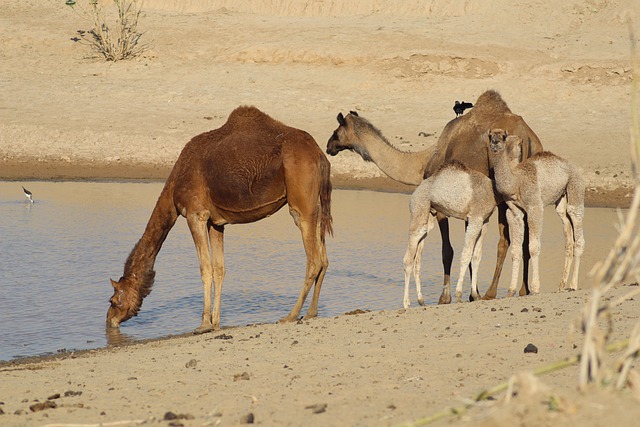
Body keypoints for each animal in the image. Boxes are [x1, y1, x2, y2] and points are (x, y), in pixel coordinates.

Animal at [107, 105, 332, 332]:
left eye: (113, 300)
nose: (109, 321)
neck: (174, 186)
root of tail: (320, 155)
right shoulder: (215, 223)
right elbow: (219, 269)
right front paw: (216, 322)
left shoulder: (195, 214)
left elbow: (205, 268)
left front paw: (203, 324)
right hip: (317, 205)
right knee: (323, 259)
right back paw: (311, 313)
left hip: (301, 204)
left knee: (313, 259)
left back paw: (290, 315)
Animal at [402, 161, 498, 308]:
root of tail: (414, 194)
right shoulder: (475, 219)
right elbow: (466, 255)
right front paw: (459, 295)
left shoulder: (485, 220)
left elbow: (476, 256)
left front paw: (476, 296)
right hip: (419, 208)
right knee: (408, 259)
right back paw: (406, 303)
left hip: (428, 216)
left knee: (417, 260)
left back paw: (421, 300)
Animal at [490, 130, 584, 298]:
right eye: (490, 135)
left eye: (503, 137)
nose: (494, 143)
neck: (516, 181)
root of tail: (577, 169)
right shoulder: (514, 212)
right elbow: (515, 249)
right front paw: (510, 291)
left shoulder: (535, 207)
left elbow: (533, 246)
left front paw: (535, 288)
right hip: (561, 199)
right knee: (568, 236)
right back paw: (561, 286)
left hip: (576, 188)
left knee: (578, 230)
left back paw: (573, 285)